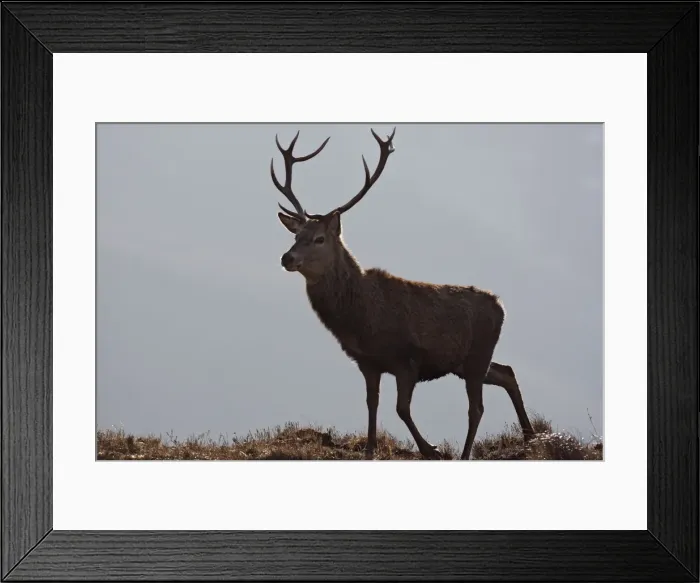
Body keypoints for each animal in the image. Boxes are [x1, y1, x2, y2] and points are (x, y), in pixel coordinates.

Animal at [269, 128, 536, 460]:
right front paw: (371, 450)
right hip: (466, 362)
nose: (286, 258)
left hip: (477, 355)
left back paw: (468, 453)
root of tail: (500, 306)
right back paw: (530, 435)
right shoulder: (367, 363)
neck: (361, 320)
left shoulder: (406, 359)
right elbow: (372, 405)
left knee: (477, 408)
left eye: (319, 238)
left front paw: (432, 449)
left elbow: (401, 409)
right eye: (295, 236)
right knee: (506, 372)